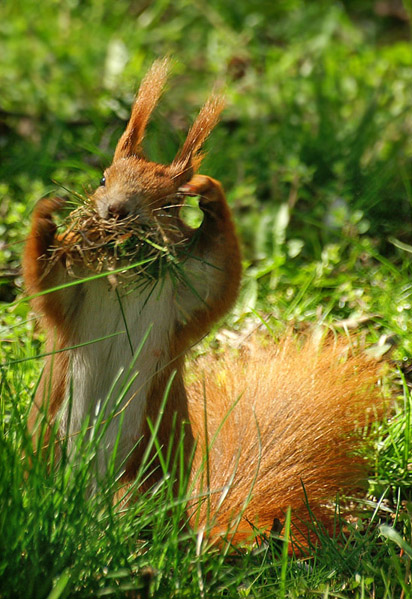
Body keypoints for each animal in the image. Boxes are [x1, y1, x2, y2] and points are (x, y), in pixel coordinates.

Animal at [22, 59, 384, 544]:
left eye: (170, 203)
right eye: (101, 178)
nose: (115, 211)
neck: (125, 275)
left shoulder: (187, 295)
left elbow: (220, 276)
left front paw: (209, 191)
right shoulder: (74, 293)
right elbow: (46, 281)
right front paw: (49, 209)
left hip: (147, 472)